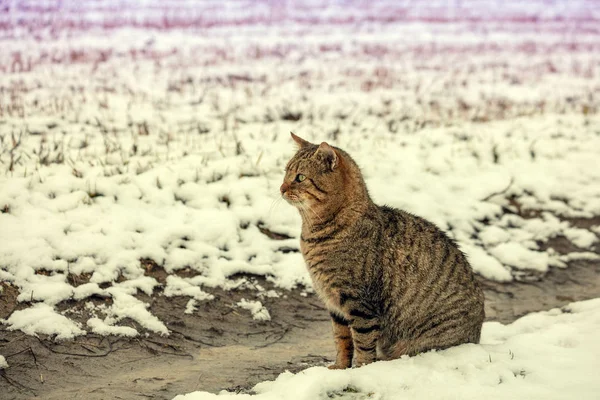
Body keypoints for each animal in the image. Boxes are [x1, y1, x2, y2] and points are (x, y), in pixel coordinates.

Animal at [278, 132, 486, 368]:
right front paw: (339, 368)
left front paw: (361, 369)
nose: (281, 188)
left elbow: (363, 342)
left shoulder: (360, 303)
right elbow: (342, 341)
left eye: (300, 177)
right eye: (285, 172)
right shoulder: (335, 306)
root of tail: (476, 337)